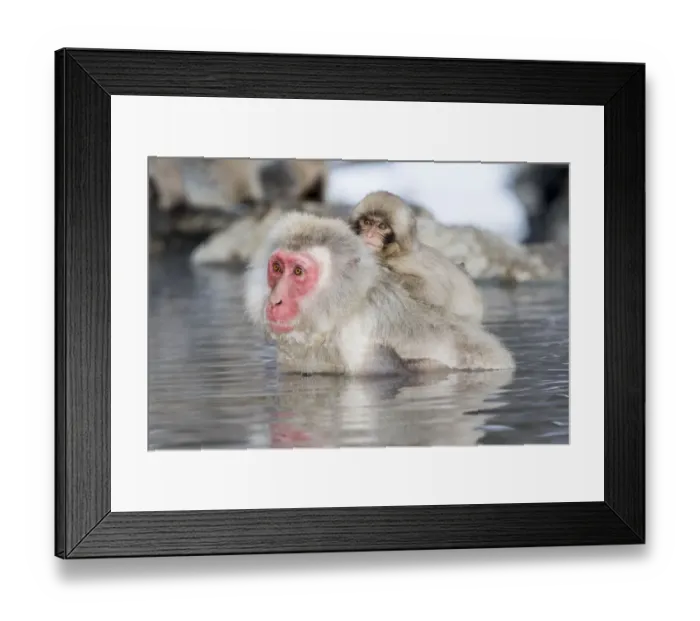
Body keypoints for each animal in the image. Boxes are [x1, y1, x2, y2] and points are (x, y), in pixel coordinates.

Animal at [348, 191, 485, 323]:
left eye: (382, 226)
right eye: (367, 222)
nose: (369, 235)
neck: (393, 253)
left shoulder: (406, 261)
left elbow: (435, 292)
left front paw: (383, 272)